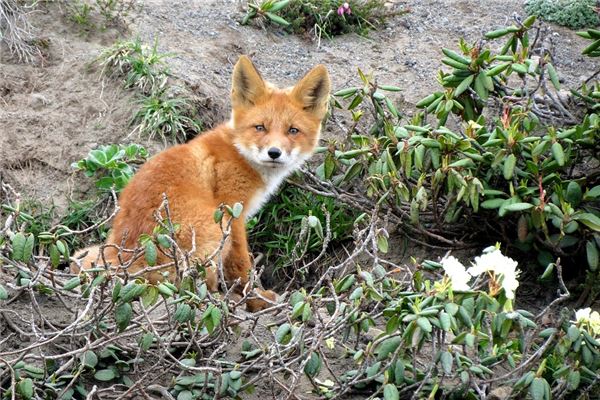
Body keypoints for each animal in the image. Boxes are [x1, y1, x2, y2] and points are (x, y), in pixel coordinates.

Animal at [74, 55, 332, 312]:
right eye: (260, 127)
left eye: (293, 131)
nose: (274, 153)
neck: (239, 152)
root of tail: (129, 258)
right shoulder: (232, 212)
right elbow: (241, 263)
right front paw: (255, 297)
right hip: (214, 229)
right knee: (191, 286)